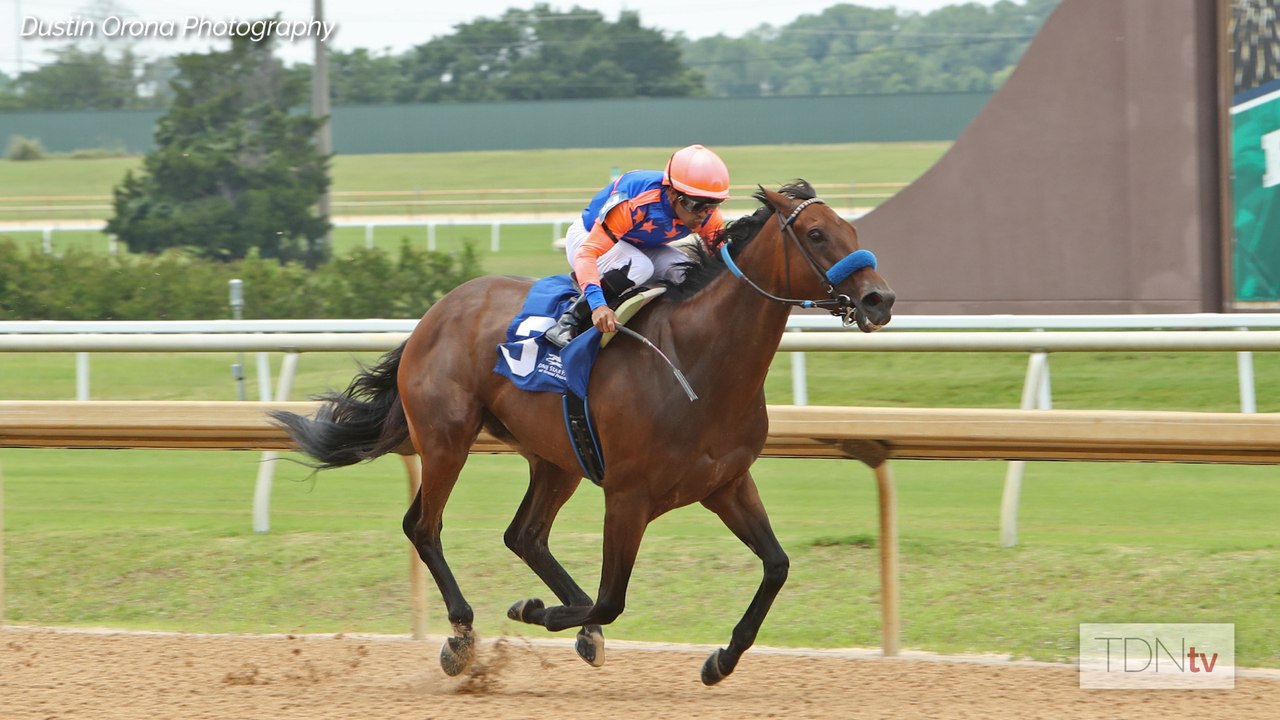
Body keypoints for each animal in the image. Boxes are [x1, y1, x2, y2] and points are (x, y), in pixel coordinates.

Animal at [271, 180, 895, 685]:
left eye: (852, 230)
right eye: (816, 234)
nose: (879, 298)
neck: (697, 363)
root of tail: (437, 312)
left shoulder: (727, 484)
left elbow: (776, 566)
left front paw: (720, 660)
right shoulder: (628, 497)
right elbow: (611, 599)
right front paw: (535, 612)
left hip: (556, 458)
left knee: (524, 535)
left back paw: (571, 628)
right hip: (447, 439)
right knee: (423, 526)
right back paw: (462, 637)